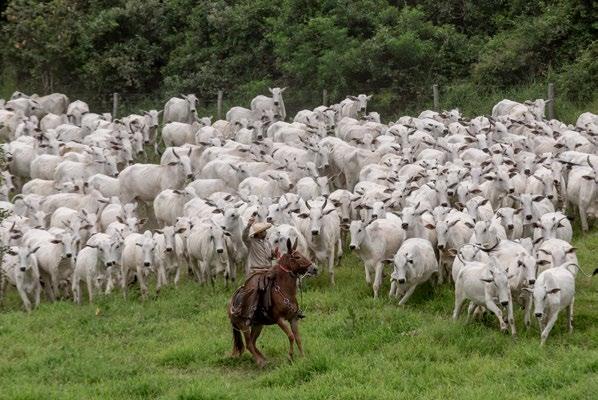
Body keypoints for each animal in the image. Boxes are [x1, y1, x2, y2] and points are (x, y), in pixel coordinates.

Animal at [227, 239, 318, 368]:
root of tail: (232, 303)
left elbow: (298, 338)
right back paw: (260, 362)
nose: (315, 268)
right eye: (297, 257)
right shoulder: (280, 320)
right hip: (244, 326)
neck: (284, 290)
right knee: (249, 344)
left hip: (258, 325)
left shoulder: (293, 319)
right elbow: (291, 336)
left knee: (253, 343)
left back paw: (263, 359)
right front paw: (290, 357)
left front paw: (303, 357)